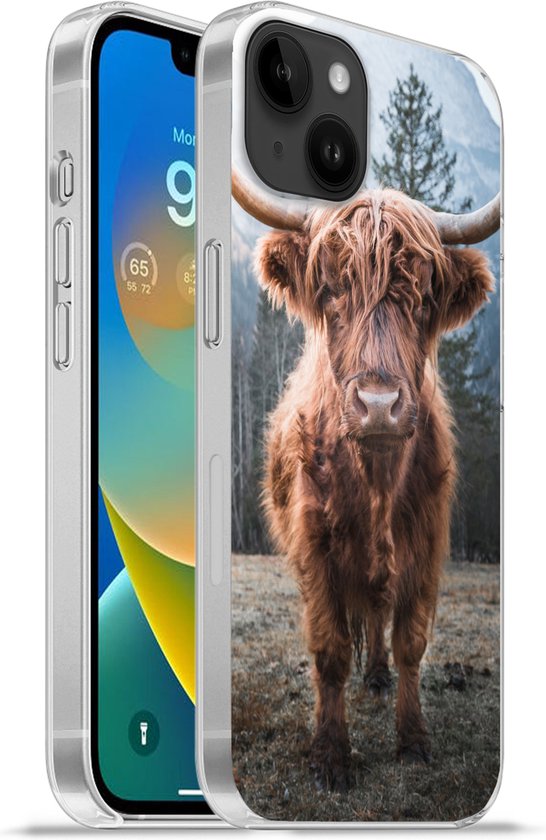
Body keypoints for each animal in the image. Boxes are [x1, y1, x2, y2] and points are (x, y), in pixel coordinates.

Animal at [233, 171, 501, 792]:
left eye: (423, 297)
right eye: (331, 289)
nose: (379, 405)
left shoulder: (427, 544)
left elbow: (411, 643)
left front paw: (414, 740)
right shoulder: (315, 548)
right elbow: (330, 649)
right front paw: (331, 755)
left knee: (379, 614)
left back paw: (376, 675)